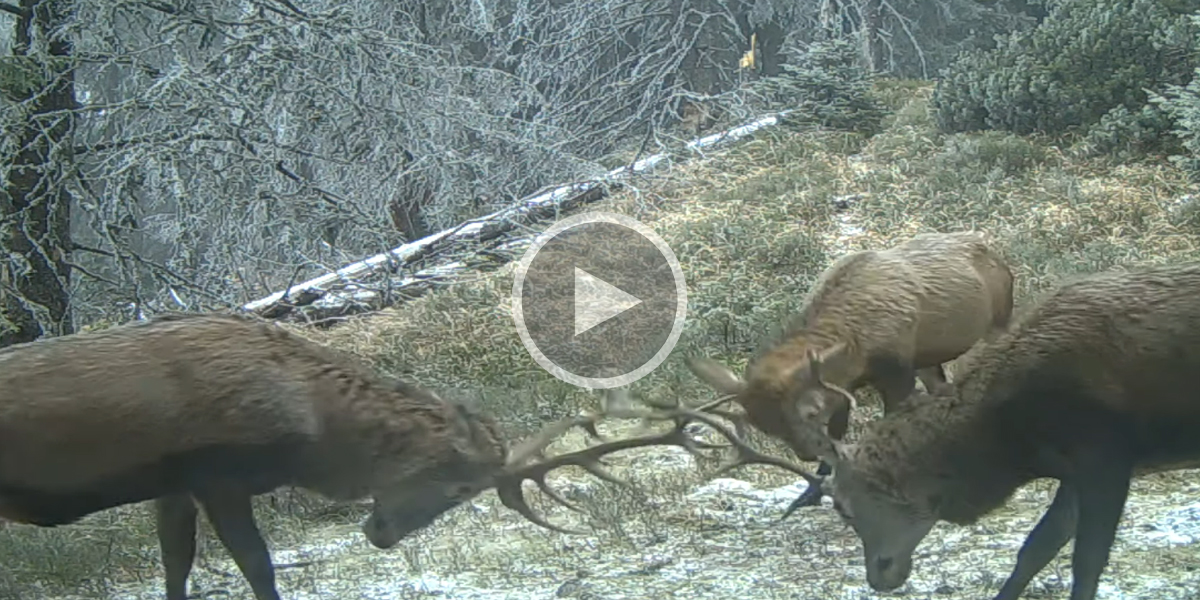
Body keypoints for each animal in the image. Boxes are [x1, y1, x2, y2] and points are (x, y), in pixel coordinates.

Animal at [686, 231, 1012, 513]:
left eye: (811, 411)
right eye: (765, 427)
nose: (805, 453)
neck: (859, 351)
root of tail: (991, 249)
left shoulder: (897, 370)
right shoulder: (844, 385)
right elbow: (838, 432)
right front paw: (809, 495)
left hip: (1000, 320)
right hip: (930, 359)